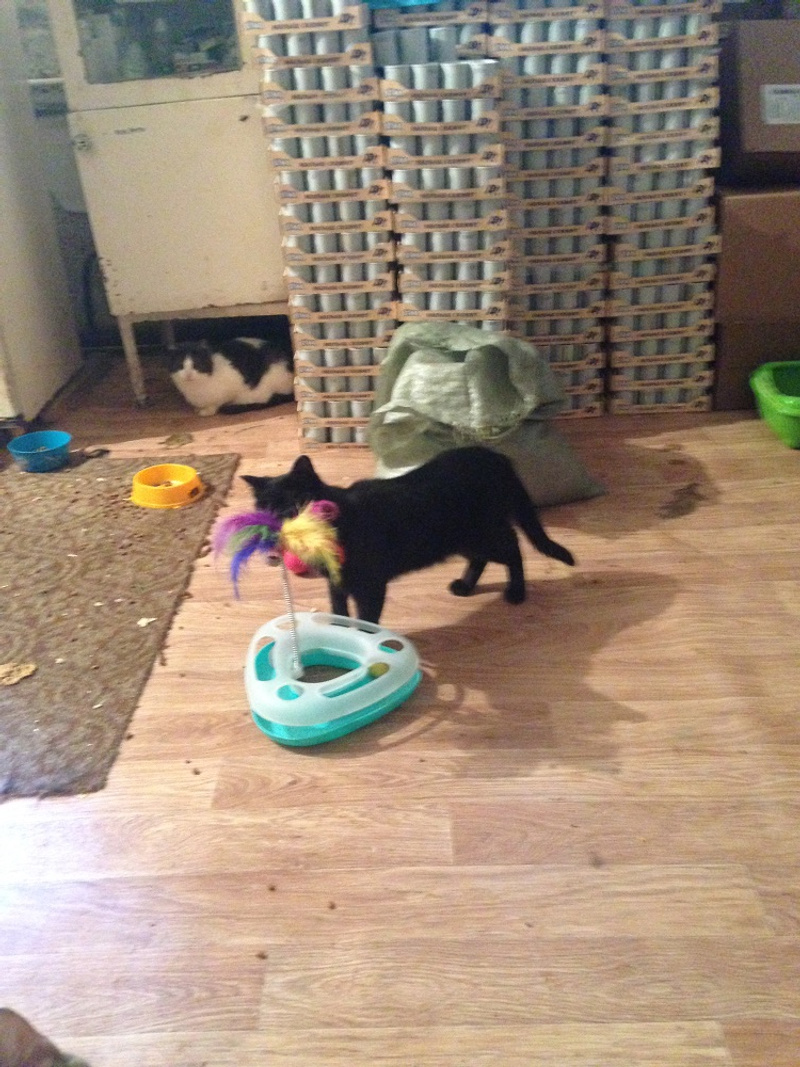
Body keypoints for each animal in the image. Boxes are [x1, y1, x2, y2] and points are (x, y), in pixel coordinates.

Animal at [243, 445, 575, 624]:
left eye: (292, 507)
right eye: (263, 512)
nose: (273, 531)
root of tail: (496, 457)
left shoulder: (370, 585)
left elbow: (366, 620)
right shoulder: (336, 583)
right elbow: (340, 611)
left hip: (481, 533)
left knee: (512, 545)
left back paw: (516, 592)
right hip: (458, 540)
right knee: (485, 556)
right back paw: (465, 585)